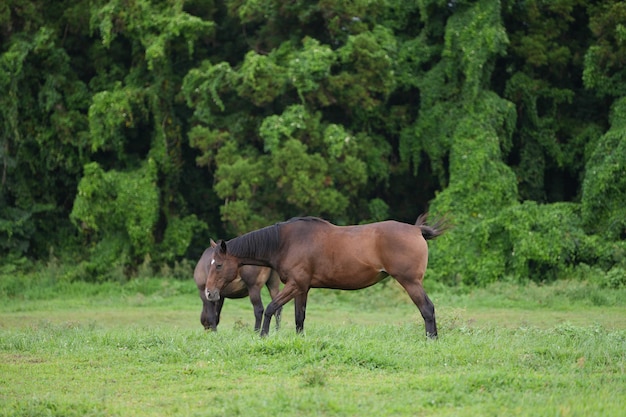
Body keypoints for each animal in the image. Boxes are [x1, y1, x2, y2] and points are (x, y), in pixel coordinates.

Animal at [204, 214, 444, 338]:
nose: (209, 293)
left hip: (410, 282)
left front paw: (263, 336)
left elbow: (271, 308)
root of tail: (416, 230)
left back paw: (430, 339)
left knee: (427, 309)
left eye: (219, 265)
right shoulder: (302, 288)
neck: (285, 243)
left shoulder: (294, 285)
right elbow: (299, 317)